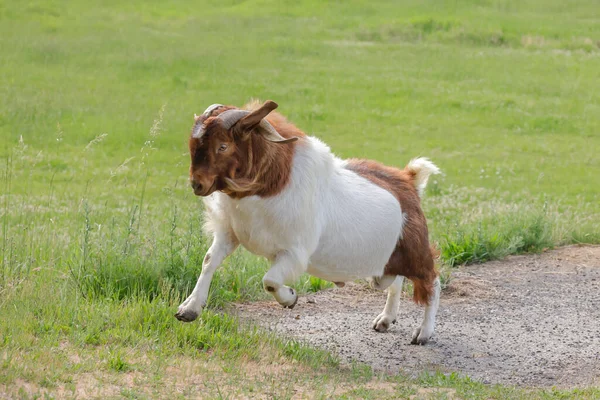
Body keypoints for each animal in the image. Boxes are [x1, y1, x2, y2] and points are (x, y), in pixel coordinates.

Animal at [176, 100, 442, 344]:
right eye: (192, 143)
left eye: (223, 145)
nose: (197, 184)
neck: (271, 184)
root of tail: (409, 181)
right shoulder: (230, 233)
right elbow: (209, 261)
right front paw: (188, 310)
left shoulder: (294, 253)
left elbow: (269, 281)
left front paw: (291, 298)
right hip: (386, 263)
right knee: (395, 282)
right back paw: (385, 319)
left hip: (415, 251)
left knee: (433, 281)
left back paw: (423, 333)